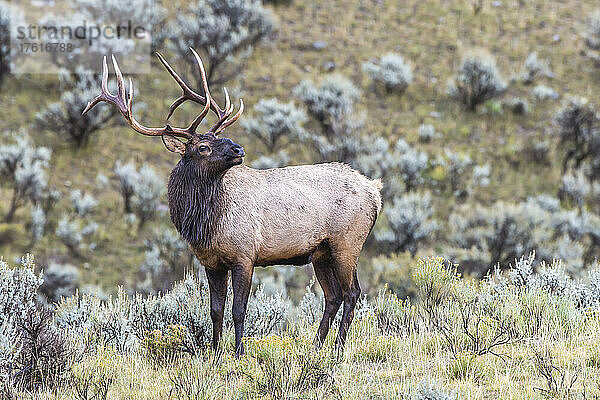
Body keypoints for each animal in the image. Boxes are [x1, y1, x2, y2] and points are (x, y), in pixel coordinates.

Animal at [83, 49, 384, 356]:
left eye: (217, 138)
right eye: (203, 147)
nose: (238, 149)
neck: (205, 225)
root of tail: (376, 190)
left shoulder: (245, 255)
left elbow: (239, 310)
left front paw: (239, 352)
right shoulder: (211, 262)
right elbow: (215, 310)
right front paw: (214, 352)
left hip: (347, 243)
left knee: (352, 292)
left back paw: (338, 348)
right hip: (321, 252)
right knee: (332, 296)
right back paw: (315, 346)